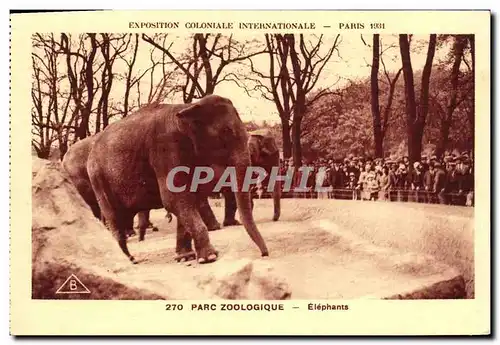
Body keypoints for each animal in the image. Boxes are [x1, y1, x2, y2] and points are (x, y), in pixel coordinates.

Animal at [86, 94, 270, 264]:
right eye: (226, 132)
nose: (264, 254)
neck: (189, 106)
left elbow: (191, 198)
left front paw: (186, 257)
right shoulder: (165, 148)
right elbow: (174, 198)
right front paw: (209, 257)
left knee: (124, 215)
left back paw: (131, 257)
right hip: (98, 178)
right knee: (114, 216)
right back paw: (128, 260)